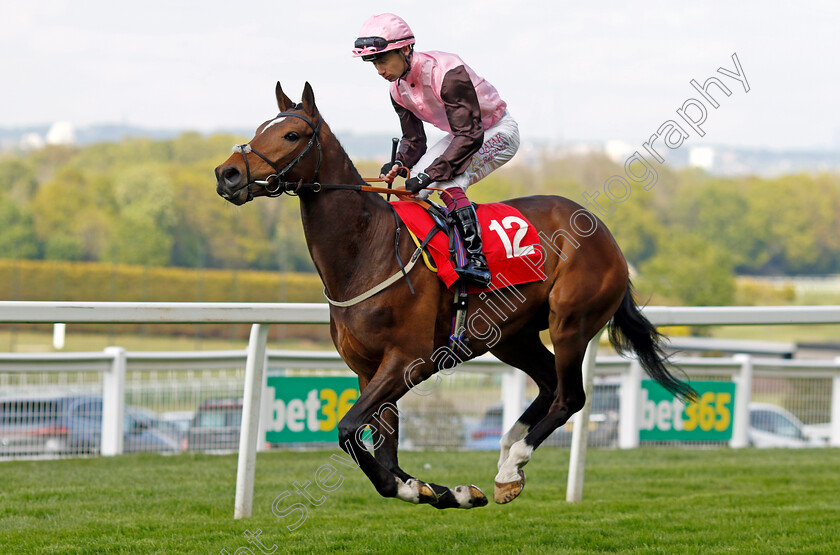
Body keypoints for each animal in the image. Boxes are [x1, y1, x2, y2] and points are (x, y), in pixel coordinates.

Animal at [213, 80, 692, 510]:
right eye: (260, 128)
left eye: (291, 135)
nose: (227, 174)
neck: (367, 252)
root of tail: (605, 233)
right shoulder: (369, 370)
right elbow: (385, 454)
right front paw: (439, 491)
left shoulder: (408, 361)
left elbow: (349, 431)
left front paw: (424, 489)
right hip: (509, 336)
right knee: (549, 383)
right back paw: (507, 457)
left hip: (570, 321)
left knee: (570, 396)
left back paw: (511, 464)